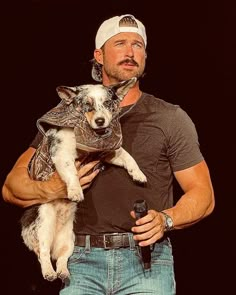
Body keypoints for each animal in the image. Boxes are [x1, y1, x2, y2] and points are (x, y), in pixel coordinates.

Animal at [20, 77, 147, 284]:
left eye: (108, 103)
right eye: (86, 105)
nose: (100, 121)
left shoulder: (108, 153)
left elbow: (128, 157)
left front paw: (138, 173)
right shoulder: (62, 155)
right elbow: (72, 173)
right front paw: (75, 191)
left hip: (70, 240)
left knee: (61, 258)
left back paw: (63, 272)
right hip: (44, 223)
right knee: (43, 254)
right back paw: (49, 272)